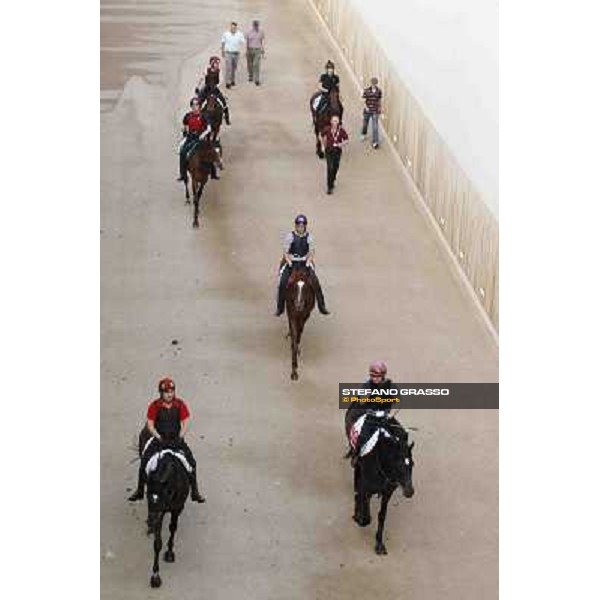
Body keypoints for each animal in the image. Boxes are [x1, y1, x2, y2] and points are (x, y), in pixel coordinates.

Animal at [137, 428, 191, 588]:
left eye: (163, 497)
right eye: (149, 496)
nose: (152, 522)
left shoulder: (177, 508)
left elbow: (173, 528)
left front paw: (169, 553)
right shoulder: (158, 513)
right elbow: (157, 543)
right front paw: (155, 576)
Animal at [344, 414, 414, 556]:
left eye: (412, 464)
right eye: (398, 465)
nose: (410, 491)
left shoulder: (387, 492)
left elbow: (382, 515)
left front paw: (379, 544)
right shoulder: (366, 486)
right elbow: (365, 515)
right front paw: (359, 517)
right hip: (357, 466)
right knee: (357, 488)